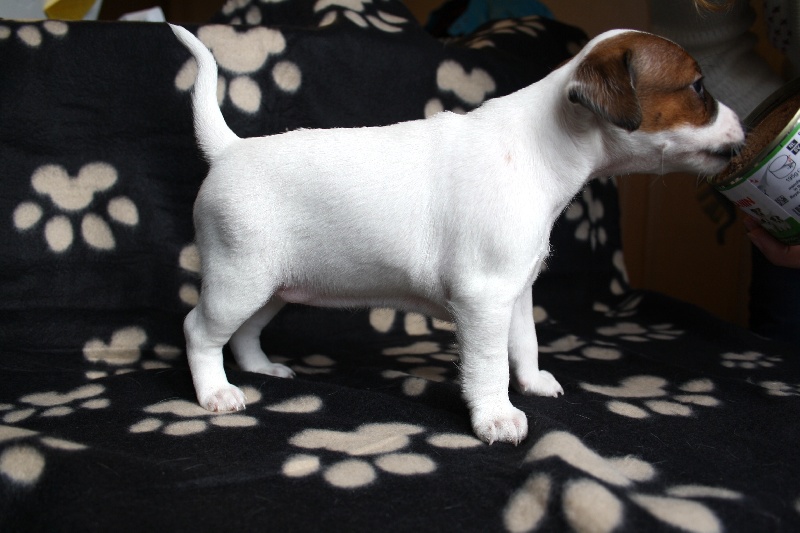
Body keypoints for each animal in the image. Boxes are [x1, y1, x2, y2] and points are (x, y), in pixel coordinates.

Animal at [169, 24, 744, 445]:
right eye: (698, 87)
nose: (742, 129)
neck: (544, 143)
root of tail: (229, 149)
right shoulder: (484, 298)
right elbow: (489, 364)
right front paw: (497, 417)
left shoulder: (516, 290)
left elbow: (526, 341)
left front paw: (532, 383)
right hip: (238, 278)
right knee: (200, 330)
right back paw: (216, 393)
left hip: (270, 285)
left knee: (243, 332)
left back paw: (260, 369)